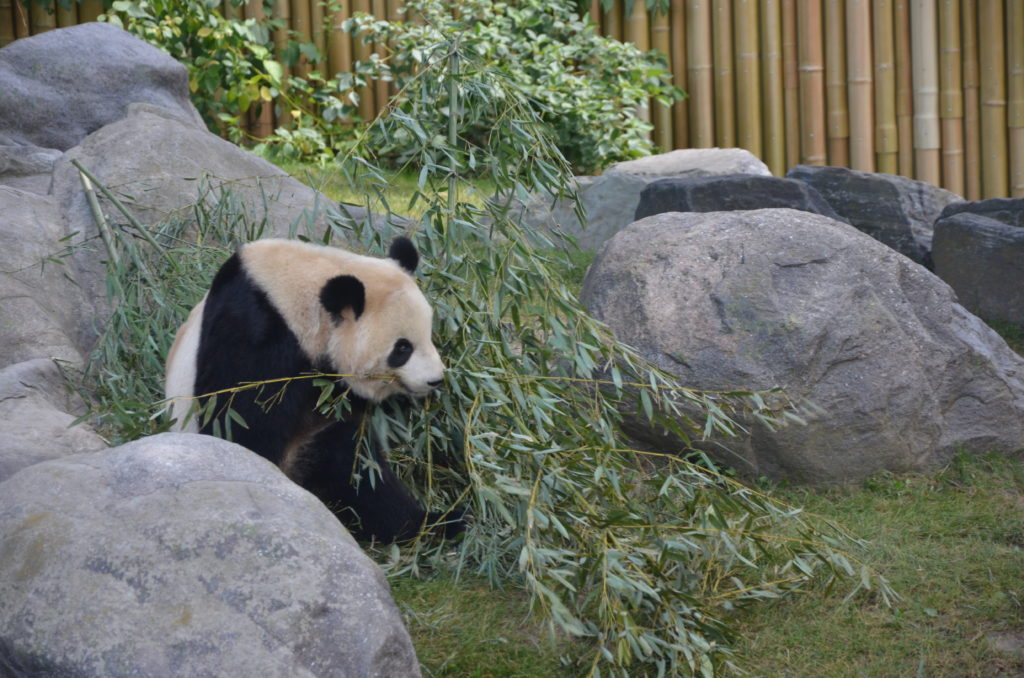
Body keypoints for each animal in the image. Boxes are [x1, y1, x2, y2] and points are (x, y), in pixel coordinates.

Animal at [164, 236, 464, 544]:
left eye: (428, 335)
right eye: (402, 348)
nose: (435, 380)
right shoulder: (255, 332)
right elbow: (238, 421)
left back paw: (437, 522)